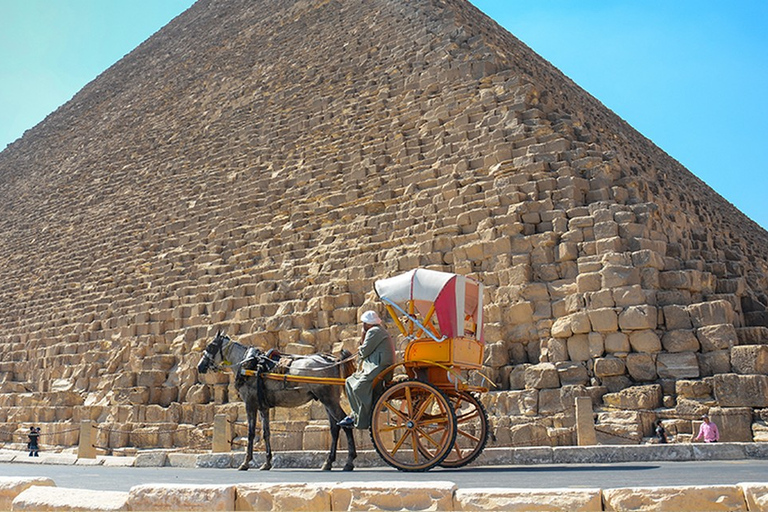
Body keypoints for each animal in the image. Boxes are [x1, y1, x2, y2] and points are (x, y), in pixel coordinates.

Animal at [196, 332, 356, 472]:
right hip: (327, 400)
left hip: (328, 399)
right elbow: (266, 432)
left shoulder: (250, 404)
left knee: (345, 423)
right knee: (335, 428)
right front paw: (267, 463)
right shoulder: (263, 407)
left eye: (211, 346)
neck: (250, 364)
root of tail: (333, 360)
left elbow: (251, 433)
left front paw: (245, 462)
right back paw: (328, 462)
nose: (200, 366)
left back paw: (349, 462)